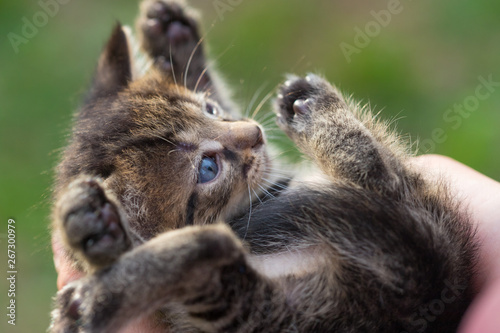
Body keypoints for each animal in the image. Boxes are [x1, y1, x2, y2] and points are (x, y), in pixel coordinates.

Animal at [49, 0, 476, 332]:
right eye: (208, 168)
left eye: (210, 109)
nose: (254, 133)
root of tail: (428, 287)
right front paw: (98, 229)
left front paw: (173, 38)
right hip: (272, 314)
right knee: (212, 251)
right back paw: (97, 295)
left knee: (382, 177)